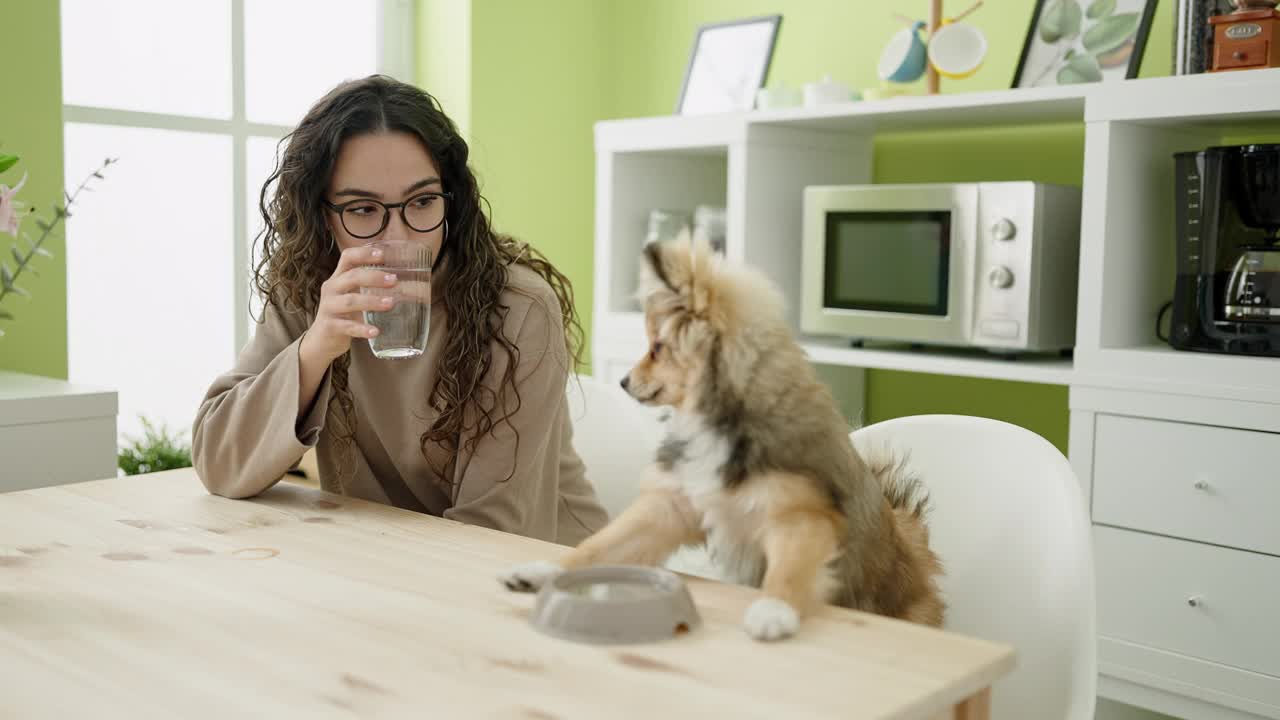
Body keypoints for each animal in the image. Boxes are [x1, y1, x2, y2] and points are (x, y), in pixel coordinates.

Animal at [504, 233, 947, 635]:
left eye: (657, 348)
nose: (624, 381)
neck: (717, 422)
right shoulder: (672, 506)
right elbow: (599, 544)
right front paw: (544, 569)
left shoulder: (798, 519)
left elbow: (786, 574)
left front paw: (773, 611)